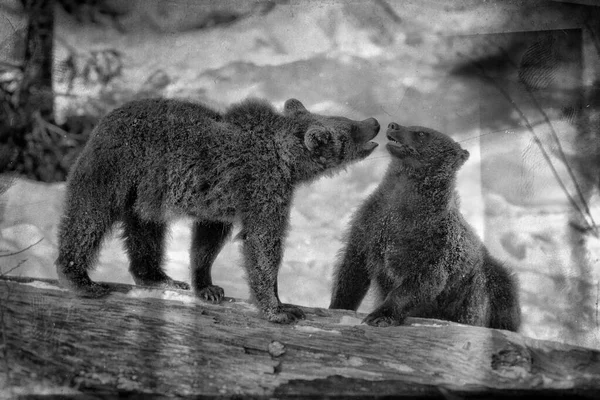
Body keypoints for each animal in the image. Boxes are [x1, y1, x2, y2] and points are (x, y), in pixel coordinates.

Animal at [54, 97, 378, 324]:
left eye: (346, 119)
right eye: (349, 129)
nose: (374, 121)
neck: (286, 163)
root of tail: (104, 119)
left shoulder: (220, 204)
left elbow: (208, 240)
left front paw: (208, 287)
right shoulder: (264, 189)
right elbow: (263, 244)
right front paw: (280, 309)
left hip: (147, 191)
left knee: (146, 228)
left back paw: (158, 276)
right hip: (119, 166)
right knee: (89, 216)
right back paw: (80, 278)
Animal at [328, 122, 520, 332]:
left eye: (421, 133)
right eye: (412, 126)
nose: (393, 125)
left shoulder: (436, 244)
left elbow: (421, 283)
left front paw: (379, 316)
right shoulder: (369, 225)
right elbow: (352, 271)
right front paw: (338, 306)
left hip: (486, 291)